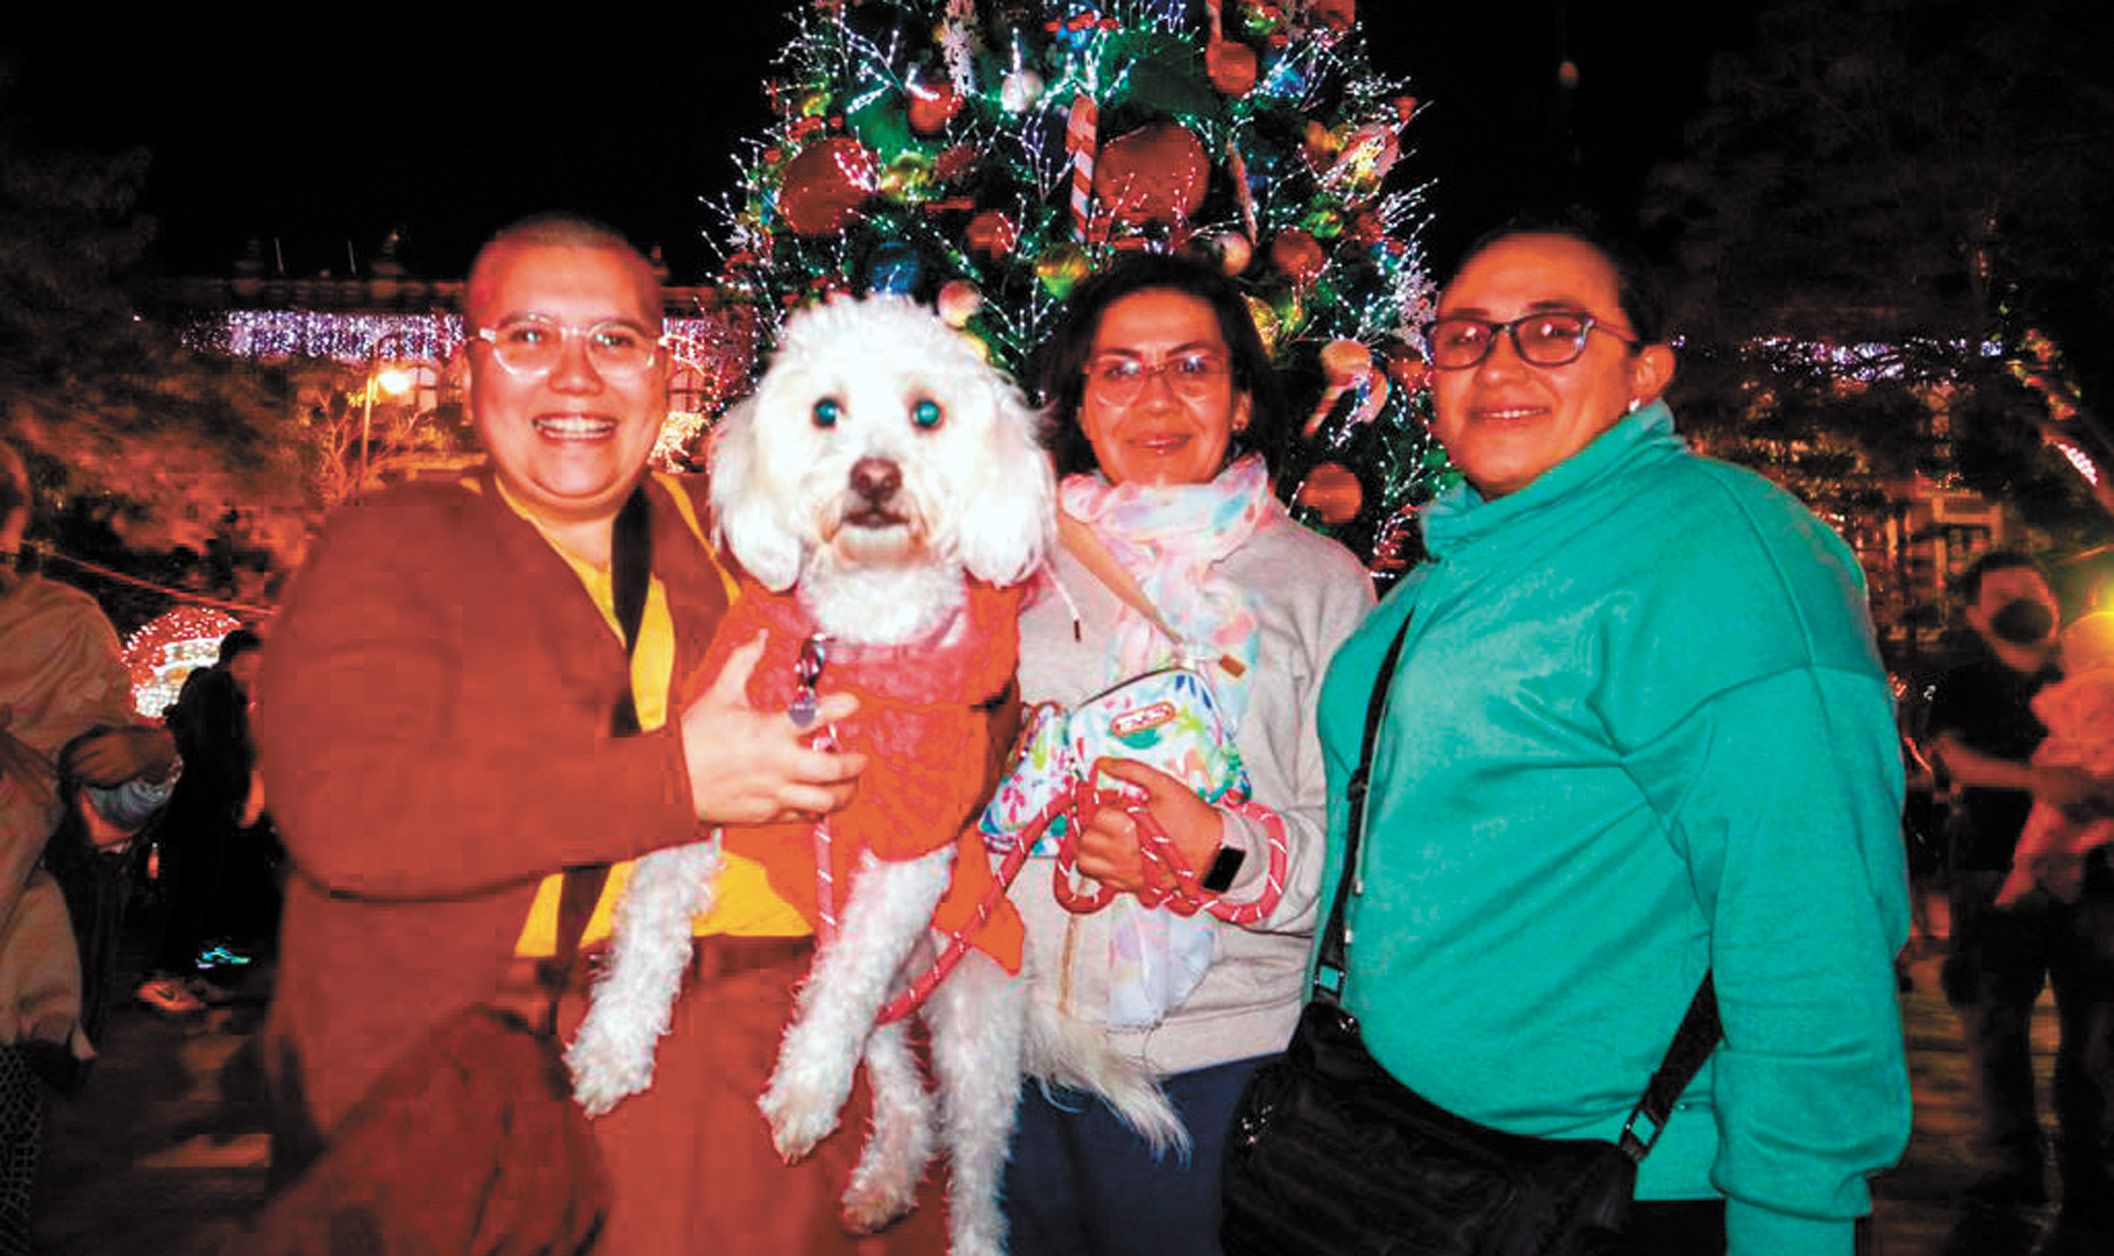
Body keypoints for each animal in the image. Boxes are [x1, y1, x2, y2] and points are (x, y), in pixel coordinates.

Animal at [567, 294, 1057, 1255]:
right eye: (826, 411)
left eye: (926, 413)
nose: (874, 476)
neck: (855, 650)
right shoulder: (709, 786)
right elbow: (650, 935)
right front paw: (614, 1042)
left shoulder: (909, 865)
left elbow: (841, 997)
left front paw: (800, 1088)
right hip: (877, 988)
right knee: (903, 1096)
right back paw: (884, 1181)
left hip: (973, 1026)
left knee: (974, 1164)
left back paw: (963, 1226)